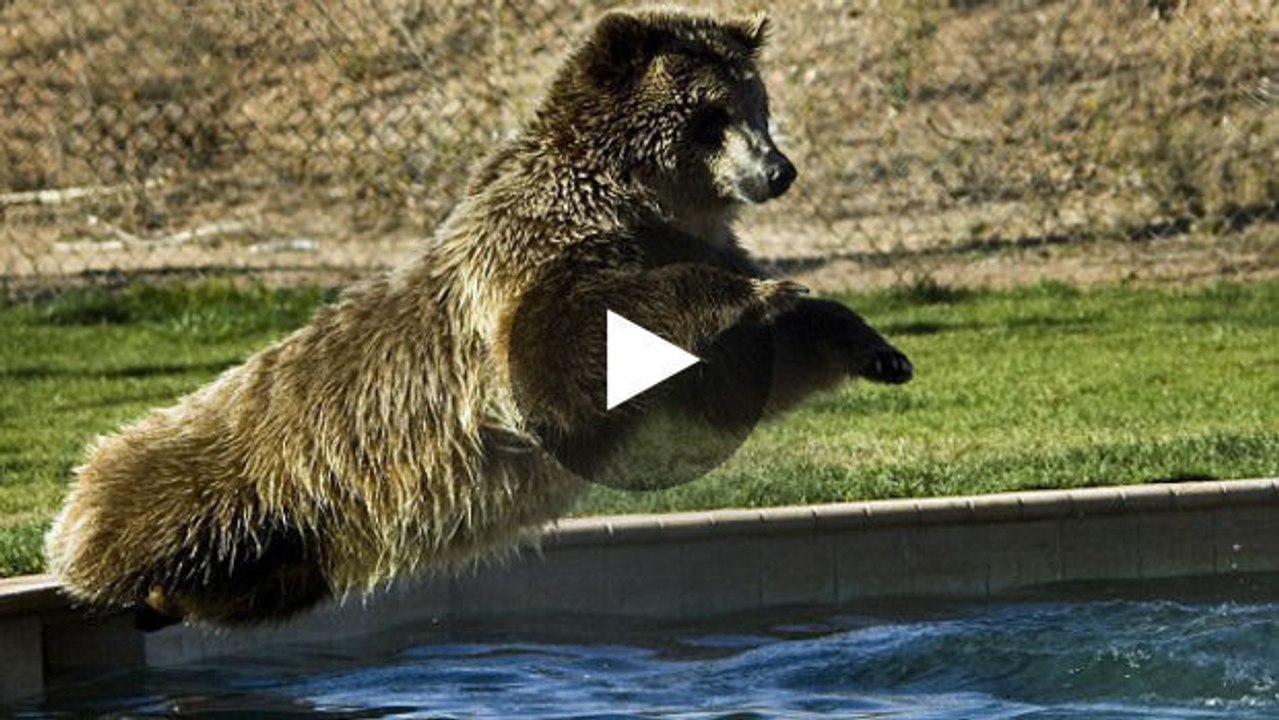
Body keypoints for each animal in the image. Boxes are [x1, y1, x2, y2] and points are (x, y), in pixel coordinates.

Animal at [44, 7, 912, 629]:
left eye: (757, 104)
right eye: (710, 113)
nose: (778, 170)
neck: (646, 207)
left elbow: (737, 376)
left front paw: (871, 347)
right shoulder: (527, 265)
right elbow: (579, 341)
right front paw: (766, 295)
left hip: (297, 548)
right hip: (220, 484)